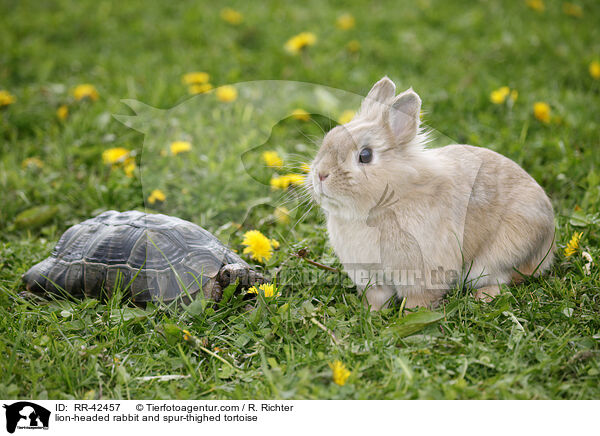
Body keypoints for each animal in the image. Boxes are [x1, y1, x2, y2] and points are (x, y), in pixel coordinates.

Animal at [308, 77, 556, 310]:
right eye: (329, 137)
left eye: (365, 155)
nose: (321, 174)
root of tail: (549, 241)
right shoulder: (372, 278)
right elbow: (377, 298)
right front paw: (373, 312)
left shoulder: (422, 274)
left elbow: (419, 300)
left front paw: (410, 315)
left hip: (499, 256)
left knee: (501, 279)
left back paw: (483, 297)